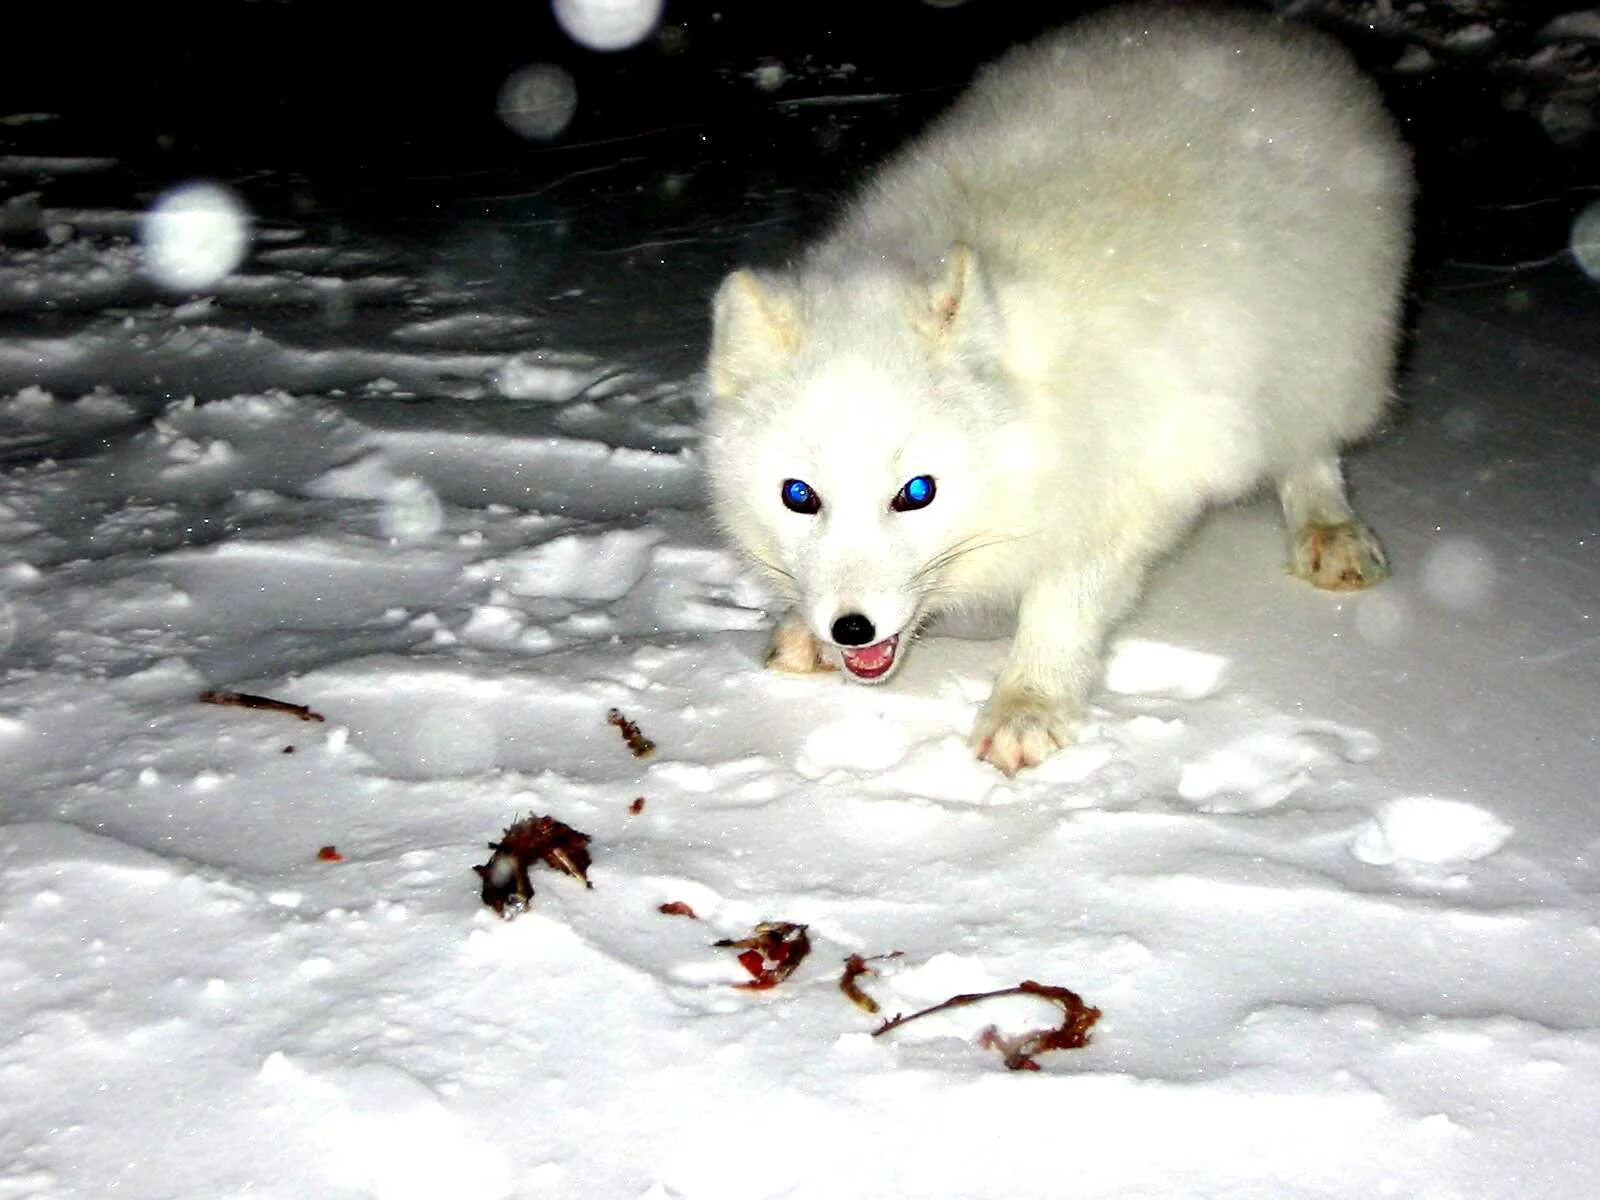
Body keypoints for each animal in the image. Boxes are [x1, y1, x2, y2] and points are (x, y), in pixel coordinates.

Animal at [700, 4, 1414, 774]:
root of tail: (1257, 24)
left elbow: (1061, 609)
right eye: (798, 495)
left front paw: (1028, 705)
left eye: (916, 492)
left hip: (1328, 344)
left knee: (1310, 446)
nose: (852, 629)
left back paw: (1329, 527)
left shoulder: (1123, 496)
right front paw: (804, 631)